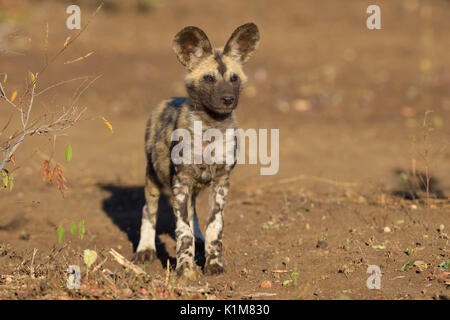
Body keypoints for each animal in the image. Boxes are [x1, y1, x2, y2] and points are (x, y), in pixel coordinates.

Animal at [134, 23, 260, 276]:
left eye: (234, 78)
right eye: (209, 78)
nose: (228, 99)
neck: (212, 128)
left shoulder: (221, 181)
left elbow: (214, 227)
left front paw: (213, 263)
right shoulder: (181, 180)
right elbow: (183, 232)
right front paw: (184, 268)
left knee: (193, 214)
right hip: (153, 177)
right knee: (148, 210)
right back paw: (145, 249)